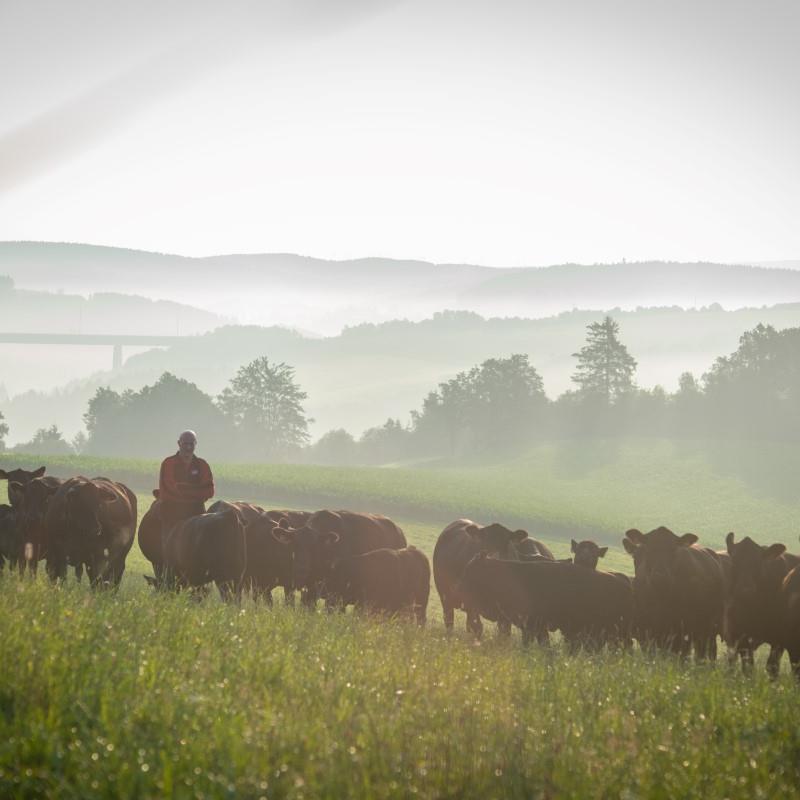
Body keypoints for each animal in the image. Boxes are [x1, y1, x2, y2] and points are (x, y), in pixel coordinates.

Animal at [460, 556, 636, 648]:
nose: (459, 589)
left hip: (616, 633)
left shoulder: (534, 626)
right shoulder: (533, 628)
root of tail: (623, 581)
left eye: (472, 572)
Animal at [724, 532, 800, 676]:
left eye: (758, 563)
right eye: (734, 560)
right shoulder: (740, 635)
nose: (746, 590)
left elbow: (772, 667)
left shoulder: (779, 639)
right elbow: (748, 667)